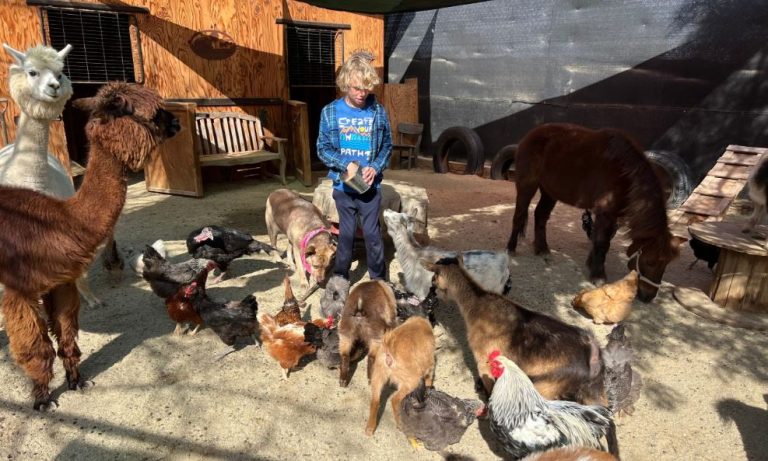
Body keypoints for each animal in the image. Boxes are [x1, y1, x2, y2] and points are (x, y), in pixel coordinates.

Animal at [0, 81, 178, 408]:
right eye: (151, 113)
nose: (177, 123)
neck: (60, 221)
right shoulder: (22, 289)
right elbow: (35, 348)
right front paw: (42, 398)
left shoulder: (61, 282)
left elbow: (67, 336)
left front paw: (77, 382)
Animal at [424, 256, 604, 404]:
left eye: (433, 280)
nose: (430, 297)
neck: (477, 303)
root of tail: (593, 356)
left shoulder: (484, 360)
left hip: (547, 385)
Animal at [508, 123, 680, 302]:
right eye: (650, 262)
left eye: (665, 265)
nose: (648, 297)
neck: (624, 173)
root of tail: (533, 133)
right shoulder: (606, 213)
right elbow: (602, 243)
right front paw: (598, 276)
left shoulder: (612, 216)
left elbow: (602, 240)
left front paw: (592, 265)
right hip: (527, 186)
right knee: (519, 215)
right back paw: (511, 248)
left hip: (550, 192)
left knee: (541, 216)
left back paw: (542, 250)